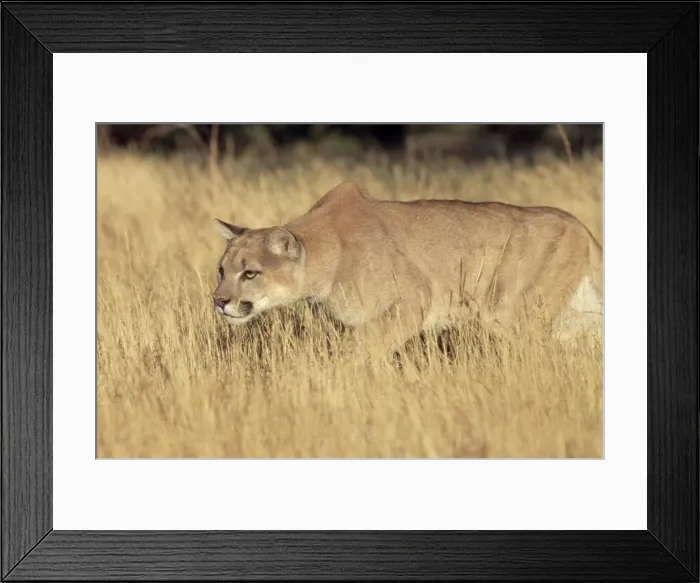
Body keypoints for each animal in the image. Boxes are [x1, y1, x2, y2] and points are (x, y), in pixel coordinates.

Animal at [212, 181, 602, 355]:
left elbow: (363, 344)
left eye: (250, 273)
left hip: (510, 313)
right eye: (222, 271)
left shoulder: (415, 299)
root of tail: (580, 225)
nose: (218, 301)